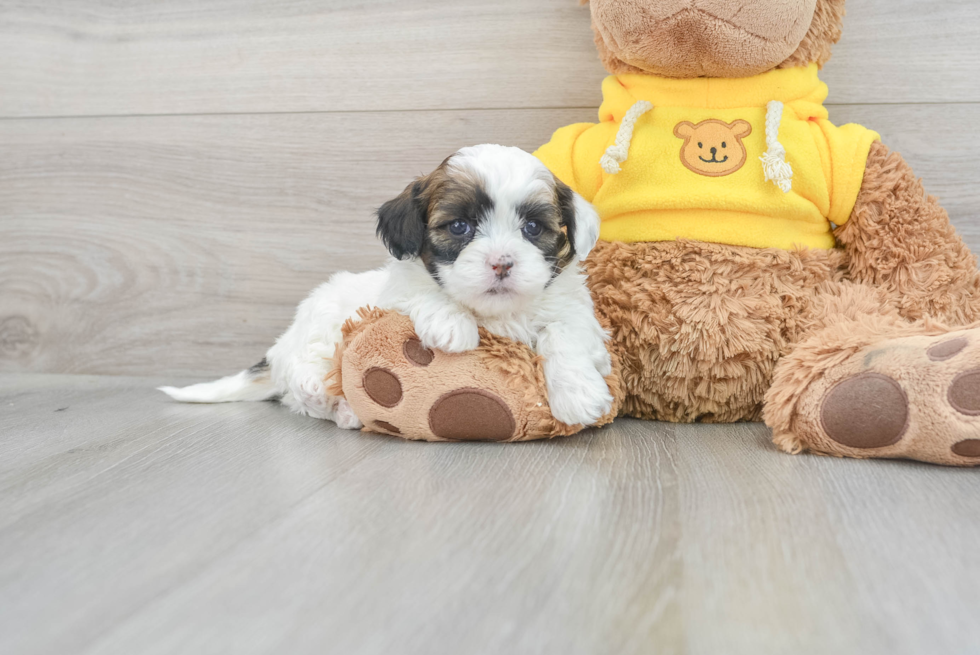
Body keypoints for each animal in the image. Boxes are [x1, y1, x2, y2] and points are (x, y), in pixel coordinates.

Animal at [165, 144, 616, 428]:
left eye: (533, 228)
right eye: (459, 227)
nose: (502, 263)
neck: (494, 313)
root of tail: (280, 350)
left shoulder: (573, 312)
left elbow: (565, 336)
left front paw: (579, 396)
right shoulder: (396, 293)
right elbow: (423, 292)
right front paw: (451, 326)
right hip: (315, 349)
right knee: (307, 394)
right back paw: (344, 411)